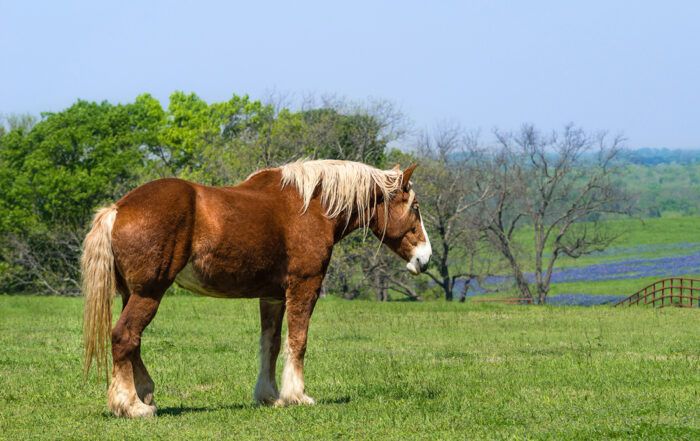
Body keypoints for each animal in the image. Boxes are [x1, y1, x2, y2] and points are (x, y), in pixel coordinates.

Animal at [81, 159, 432, 418]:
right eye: (415, 207)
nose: (425, 258)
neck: (312, 206)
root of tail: (118, 209)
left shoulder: (273, 295)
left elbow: (271, 344)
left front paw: (269, 396)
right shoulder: (304, 286)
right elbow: (298, 341)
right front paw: (297, 395)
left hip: (133, 294)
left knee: (133, 342)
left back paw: (145, 395)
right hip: (149, 293)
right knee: (124, 337)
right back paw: (131, 405)